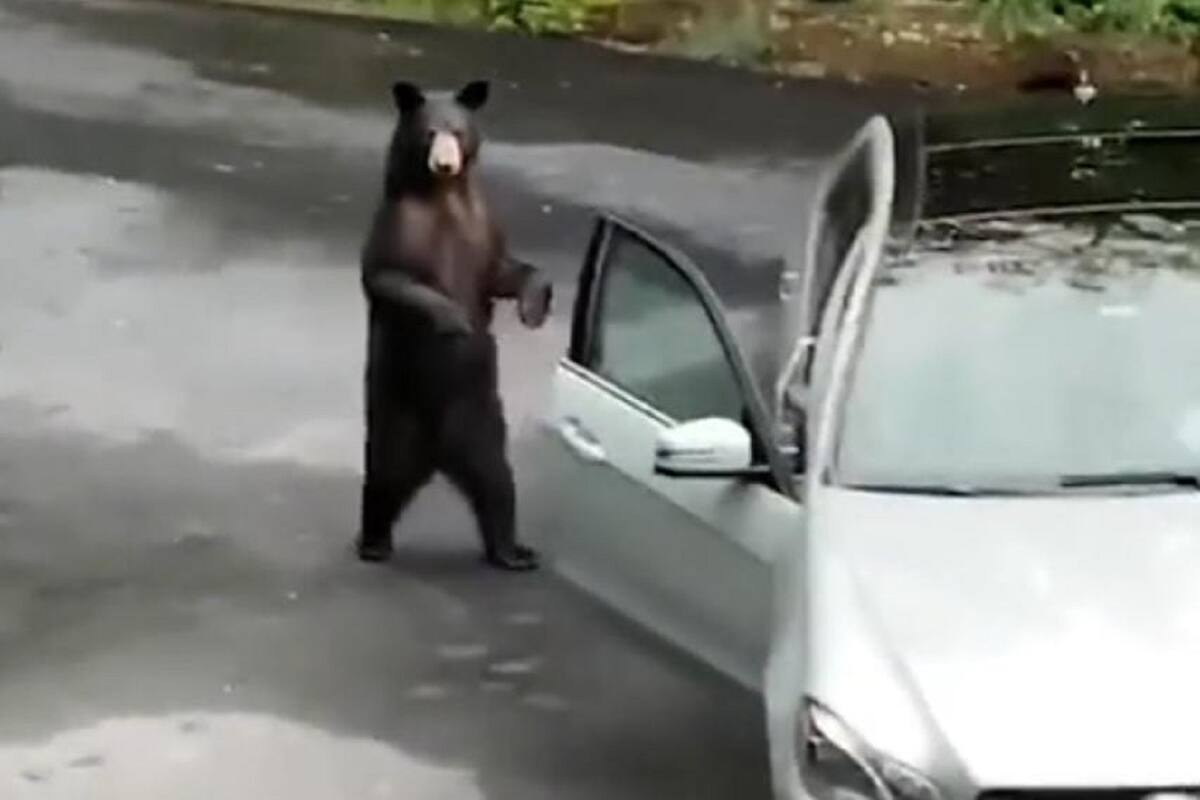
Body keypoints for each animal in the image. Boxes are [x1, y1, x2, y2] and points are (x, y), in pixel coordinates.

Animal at [356, 78, 552, 572]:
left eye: (458, 131)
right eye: (430, 132)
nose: (445, 163)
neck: (443, 198)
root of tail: (439, 454)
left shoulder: (484, 227)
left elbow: (505, 271)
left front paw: (533, 307)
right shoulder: (398, 226)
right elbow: (390, 278)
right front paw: (454, 319)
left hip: (481, 420)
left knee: (497, 483)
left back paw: (513, 551)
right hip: (397, 413)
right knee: (383, 477)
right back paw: (374, 542)